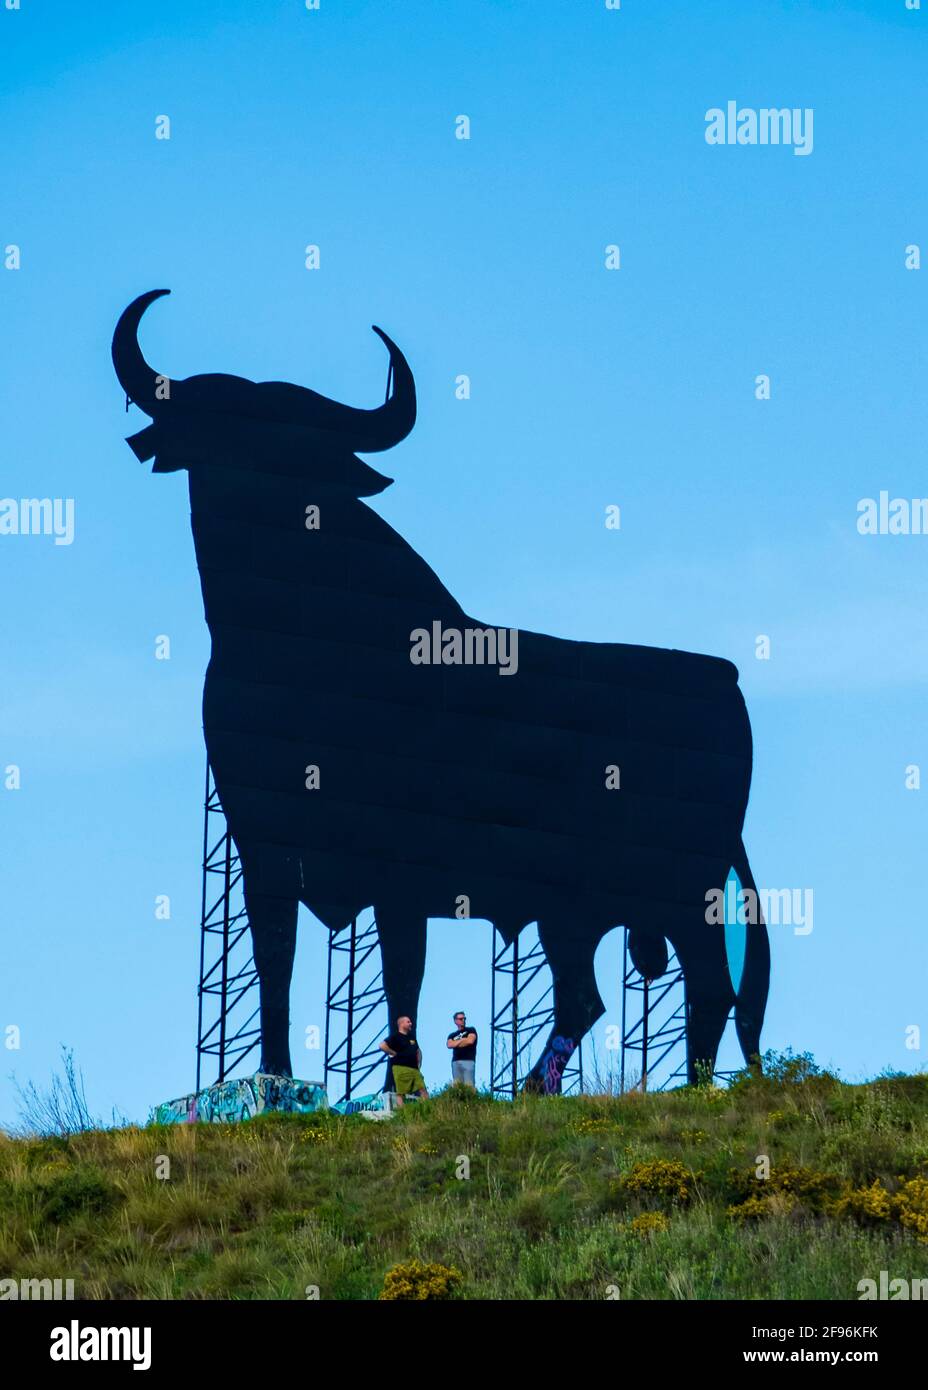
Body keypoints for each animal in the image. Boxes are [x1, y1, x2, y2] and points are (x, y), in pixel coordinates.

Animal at [113, 289, 769, 1093]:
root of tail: (725, 676)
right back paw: (538, 1088)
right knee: (588, 995)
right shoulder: (262, 847)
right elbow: (274, 964)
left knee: (707, 987)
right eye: (225, 431)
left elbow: (402, 979)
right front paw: (274, 1078)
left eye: (296, 447)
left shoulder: (401, 870)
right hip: (576, 910)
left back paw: (677, 1090)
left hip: (683, 886)